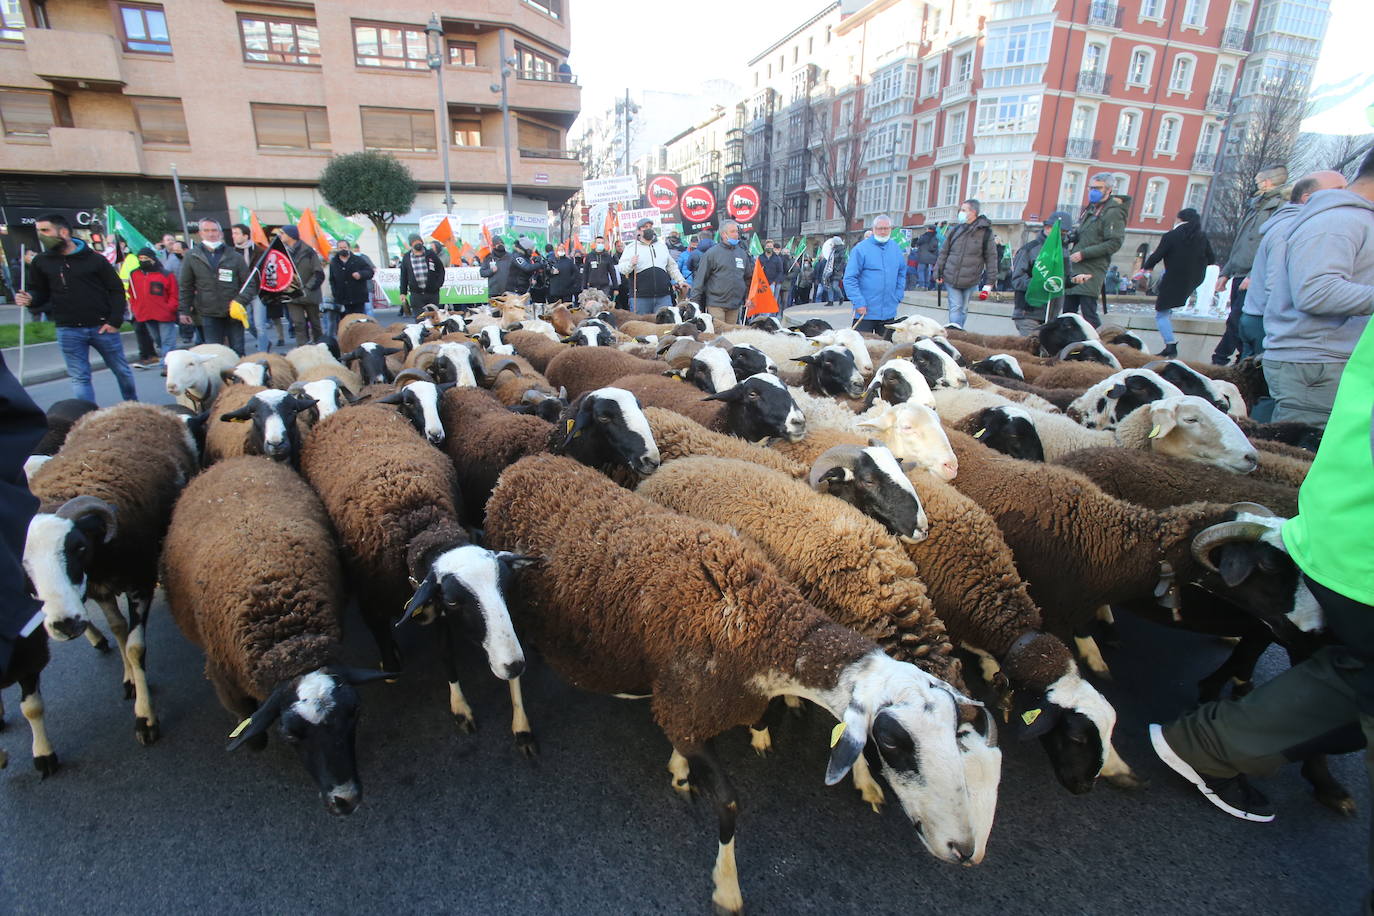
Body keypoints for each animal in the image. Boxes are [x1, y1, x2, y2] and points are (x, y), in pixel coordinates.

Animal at [24, 403, 201, 758]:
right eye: (23, 564)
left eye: (78, 547)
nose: (65, 624)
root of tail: (129, 405)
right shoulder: (98, 589)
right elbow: (119, 630)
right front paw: (130, 680)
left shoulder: (139, 581)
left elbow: (135, 648)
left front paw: (145, 719)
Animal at [164, 458, 398, 818]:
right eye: (290, 734)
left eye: (354, 712)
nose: (346, 800)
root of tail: (234, 461)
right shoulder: (222, 673)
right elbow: (248, 723)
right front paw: (253, 737)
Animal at [483, 455, 1000, 911]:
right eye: (892, 741)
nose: (965, 851)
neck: (765, 626)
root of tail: (522, 466)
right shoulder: (689, 715)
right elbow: (730, 806)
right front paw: (727, 889)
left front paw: (682, 767)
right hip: (512, 607)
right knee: (513, 669)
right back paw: (521, 727)